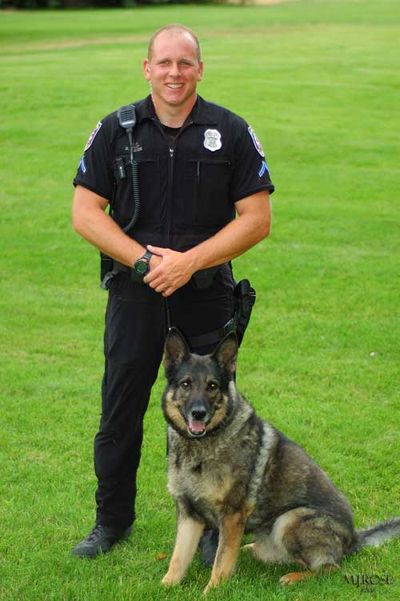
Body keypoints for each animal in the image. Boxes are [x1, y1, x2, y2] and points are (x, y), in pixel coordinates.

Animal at [160, 328, 400, 596]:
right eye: (186, 384)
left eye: (212, 386)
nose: (199, 413)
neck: (203, 445)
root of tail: (354, 539)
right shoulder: (189, 515)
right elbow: (178, 557)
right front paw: (166, 586)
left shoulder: (232, 516)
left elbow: (221, 563)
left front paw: (212, 592)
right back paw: (250, 549)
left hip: (290, 520)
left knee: (329, 568)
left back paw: (293, 577)